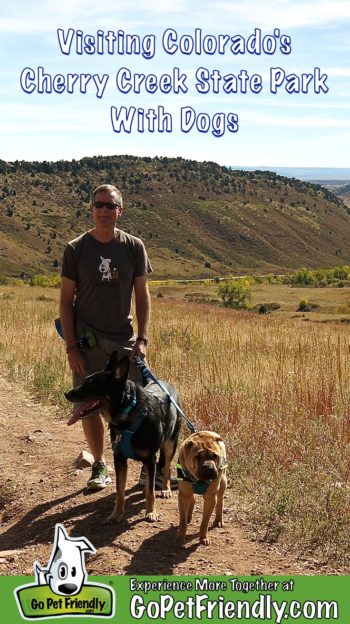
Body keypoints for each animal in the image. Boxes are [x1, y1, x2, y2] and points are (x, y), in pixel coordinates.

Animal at [64, 354, 182, 524]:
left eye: (92, 384)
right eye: (85, 381)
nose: (66, 393)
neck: (127, 413)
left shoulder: (149, 459)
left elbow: (151, 493)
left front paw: (151, 512)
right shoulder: (119, 459)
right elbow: (120, 492)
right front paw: (116, 514)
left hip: (170, 443)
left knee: (166, 467)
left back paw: (165, 488)